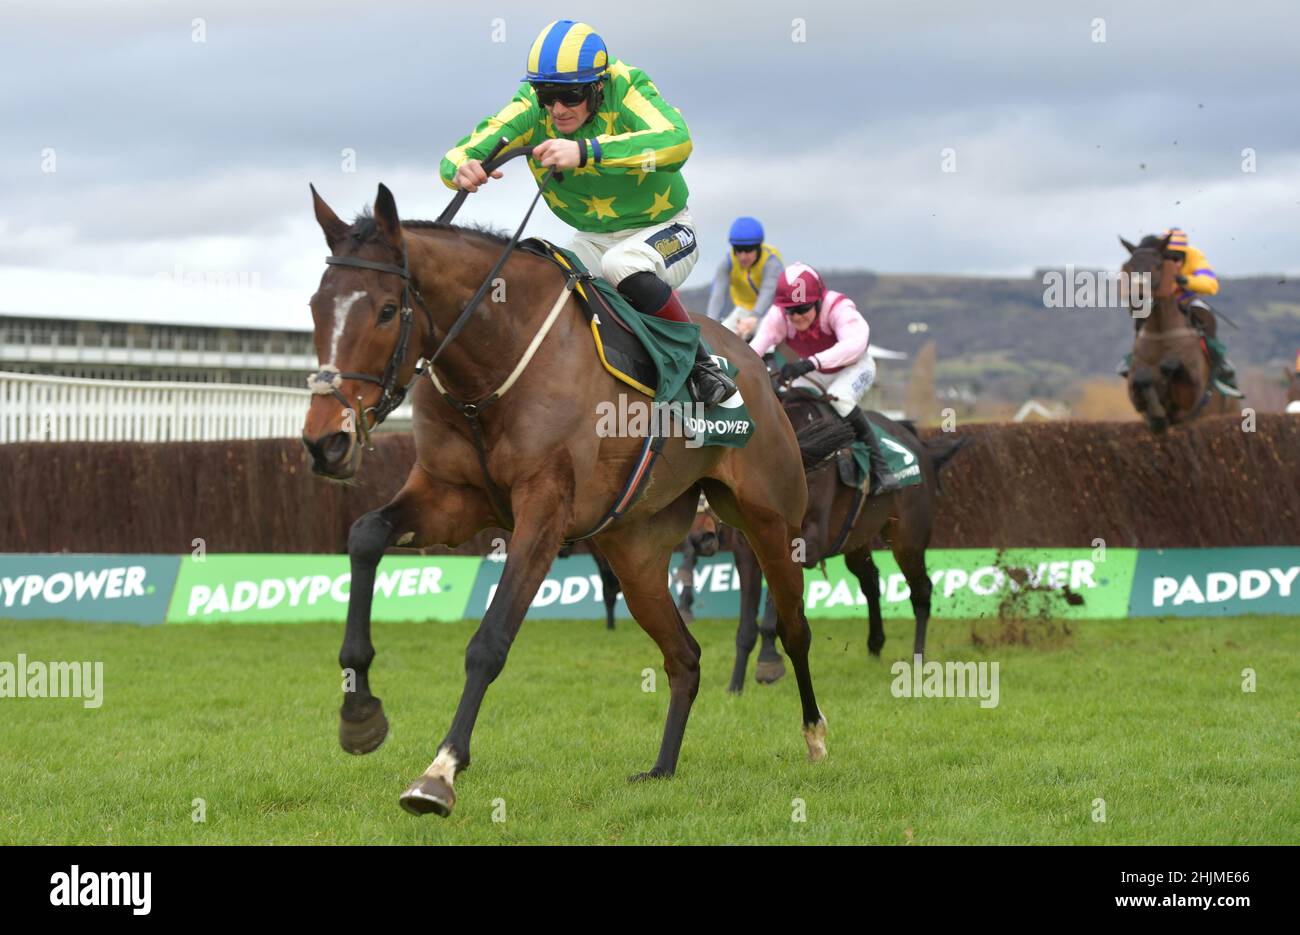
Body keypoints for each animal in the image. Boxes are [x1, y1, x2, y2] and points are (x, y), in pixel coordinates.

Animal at [297, 183, 821, 821]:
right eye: (316, 307)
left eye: (387, 311)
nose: (326, 442)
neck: (495, 361)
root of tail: (756, 367)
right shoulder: (450, 498)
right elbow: (366, 535)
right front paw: (359, 713)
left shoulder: (544, 514)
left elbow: (490, 642)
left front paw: (440, 773)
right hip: (637, 553)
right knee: (685, 656)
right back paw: (662, 767)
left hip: (770, 520)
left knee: (794, 627)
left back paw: (814, 735)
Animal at [1118, 237, 1237, 434]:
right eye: (1129, 266)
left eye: (1158, 265)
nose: (1137, 300)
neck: (1161, 334)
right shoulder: (1134, 392)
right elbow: (1142, 377)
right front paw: (1157, 415)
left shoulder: (1193, 395)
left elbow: (1170, 366)